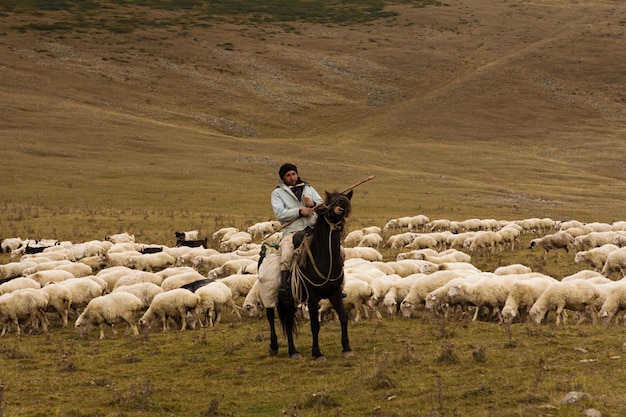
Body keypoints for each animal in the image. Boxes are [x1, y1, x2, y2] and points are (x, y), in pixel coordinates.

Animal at [260, 190, 354, 360]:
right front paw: (317, 353)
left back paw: (293, 351)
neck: (324, 257)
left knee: (288, 321)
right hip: (270, 294)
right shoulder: (313, 296)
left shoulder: (335, 292)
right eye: (330, 199)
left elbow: (343, 317)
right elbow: (315, 325)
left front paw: (347, 348)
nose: (343, 202)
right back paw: (274, 346)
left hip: (290, 300)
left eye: (345, 197)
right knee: (270, 317)